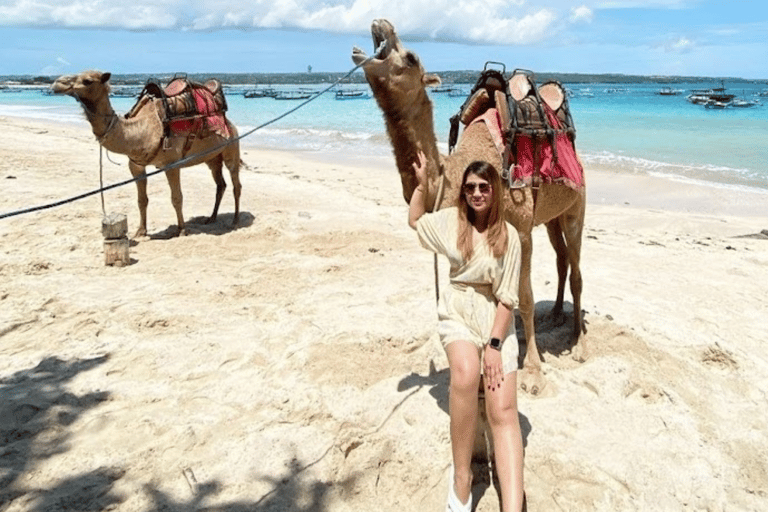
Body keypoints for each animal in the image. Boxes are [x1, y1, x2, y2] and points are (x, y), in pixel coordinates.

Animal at [51, 70, 240, 238]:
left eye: (87, 81)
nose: (57, 83)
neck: (141, 130)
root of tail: (230, 124)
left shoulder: (171, 164)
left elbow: (177, 197)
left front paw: (182, 230)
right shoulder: (136, 165)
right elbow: (142, 200)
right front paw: (141, 231)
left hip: (232, 146)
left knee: (235, 183)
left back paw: (235, 221)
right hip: (212, 157)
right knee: (220, 184)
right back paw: (212, 218)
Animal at [354, 18, 588, 394]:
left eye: (411, 57)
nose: (380, 23)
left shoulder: (521, 231)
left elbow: (523, 296)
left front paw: (533, 372)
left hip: (576, 207)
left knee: (577, 267)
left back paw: (579, 344)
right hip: (549, 217)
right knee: (563, 259)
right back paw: (553, 315)